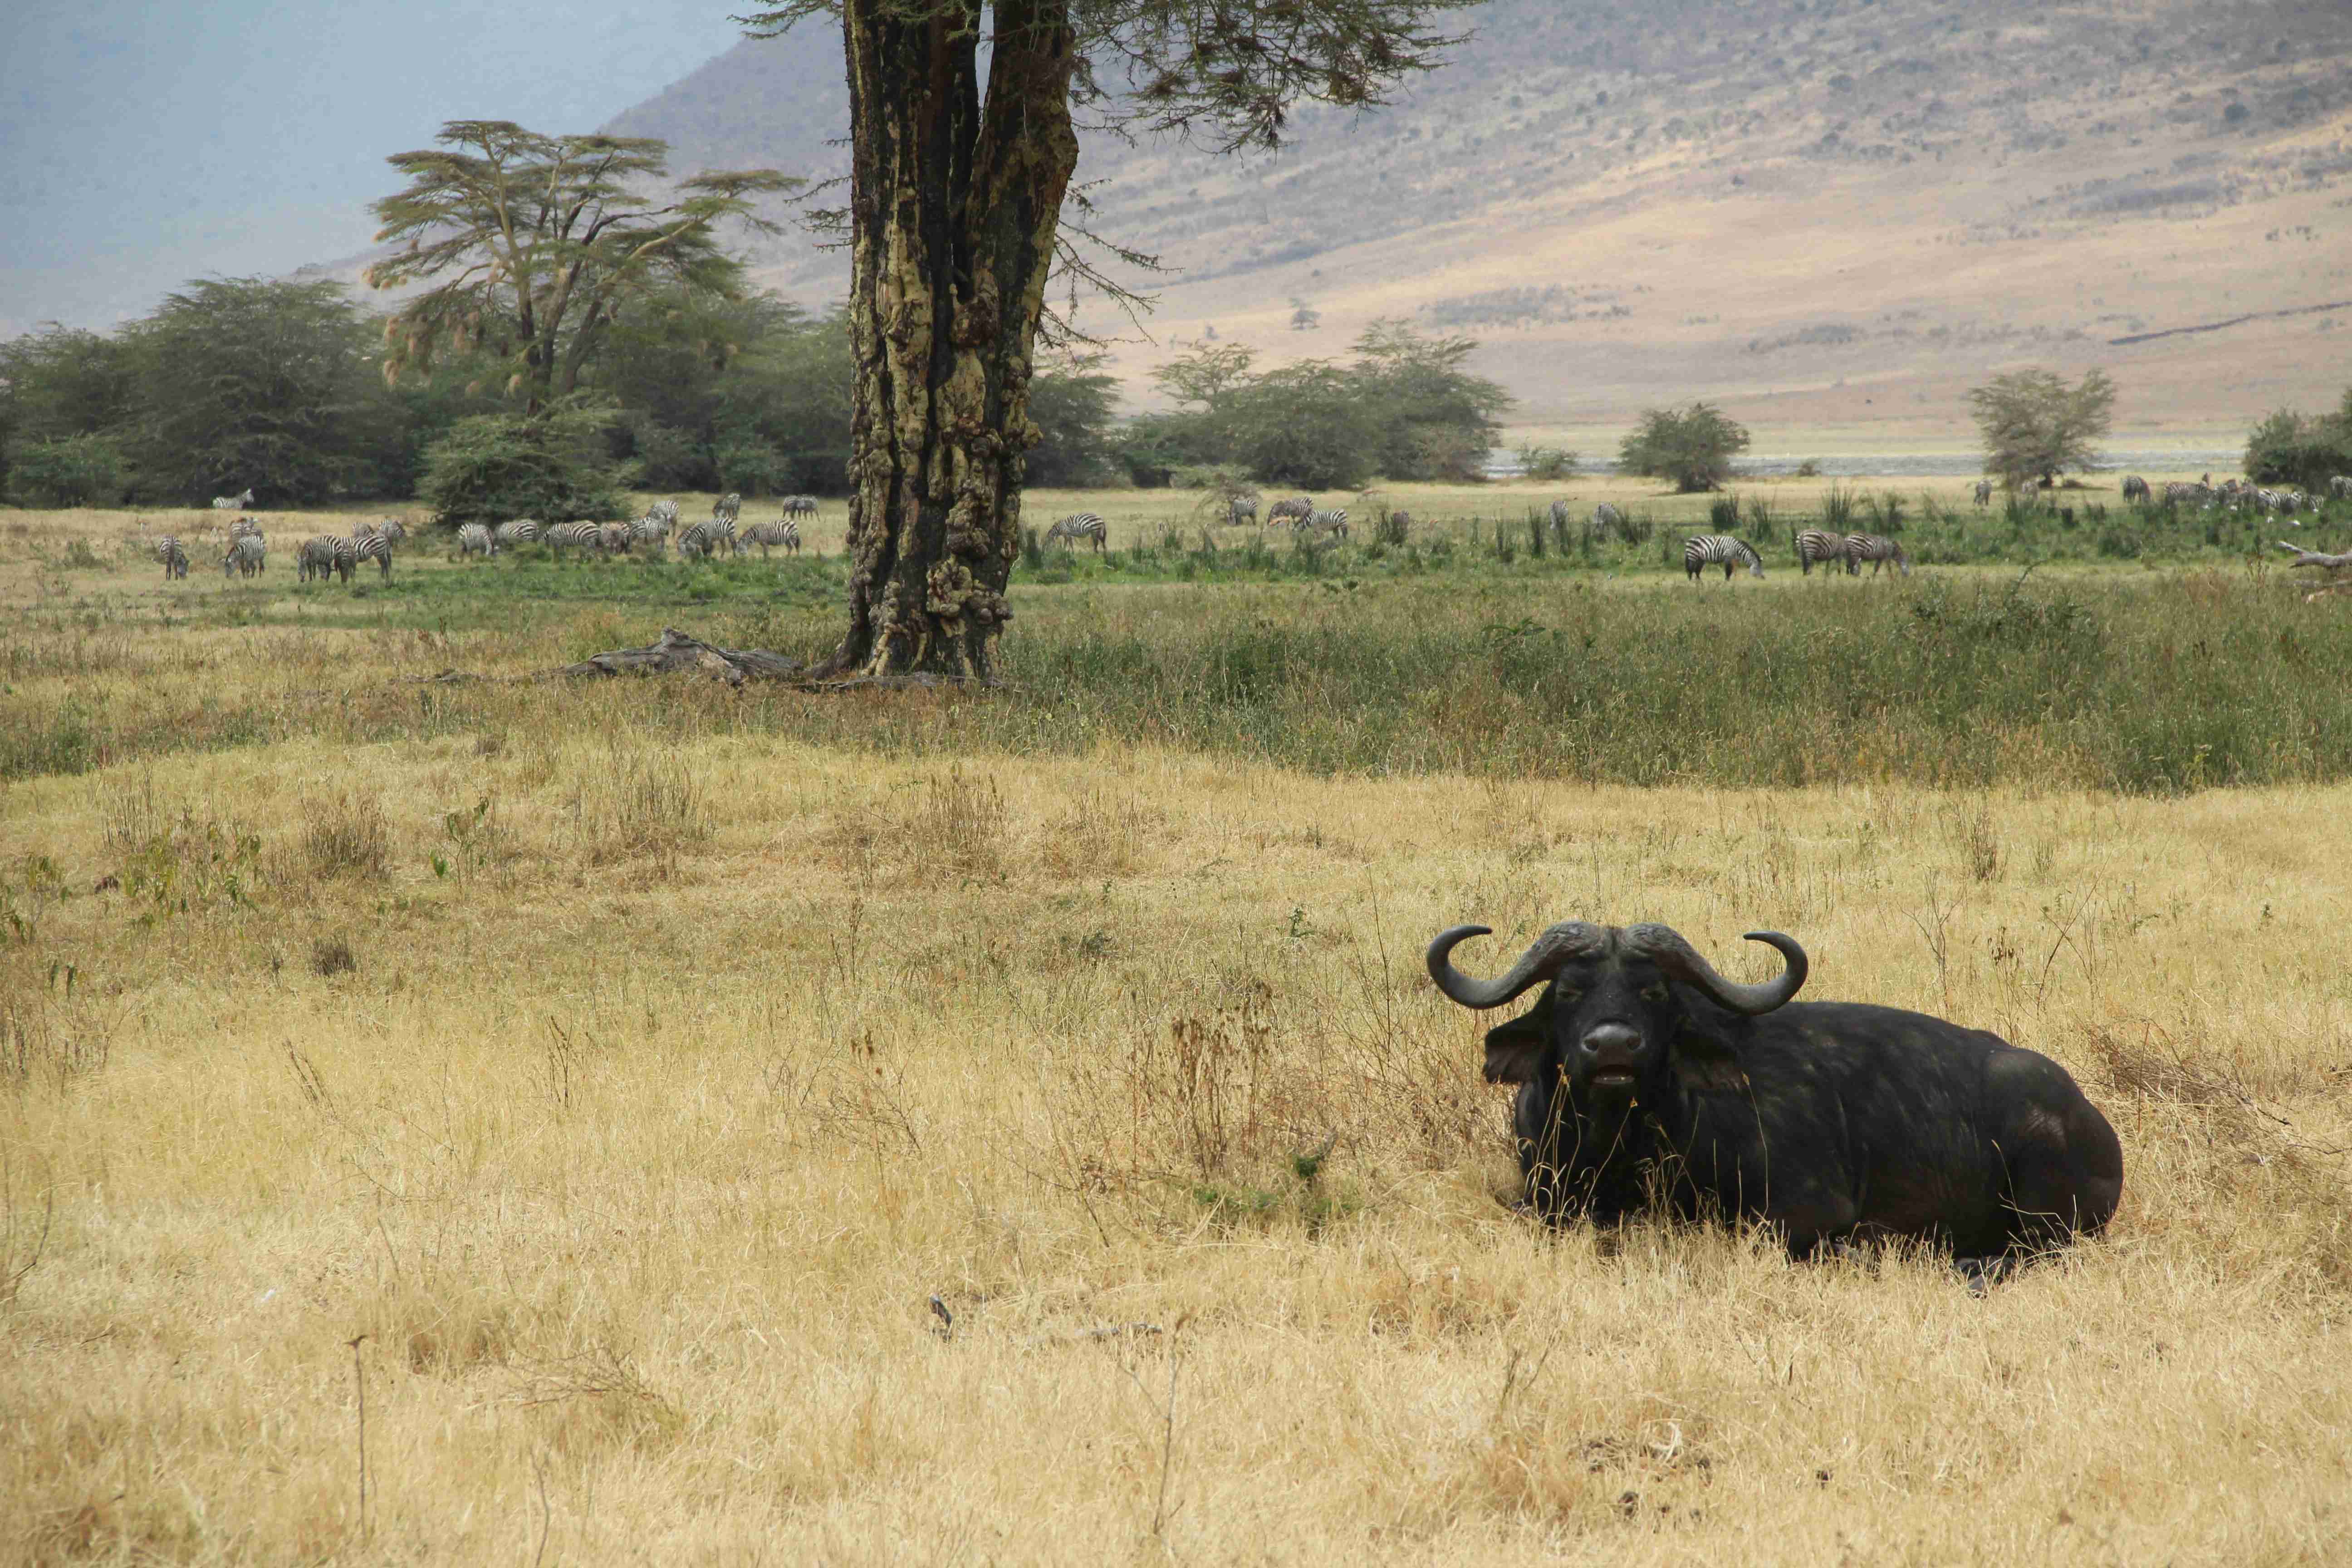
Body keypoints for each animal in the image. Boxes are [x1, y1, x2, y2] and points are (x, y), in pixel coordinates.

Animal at [1428, 921, 2123, 1272]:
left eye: (1654, 992)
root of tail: (2089, 1118)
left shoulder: (1808, 1210)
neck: (1624, 1142)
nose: (1613, 1047)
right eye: (1570, 991)